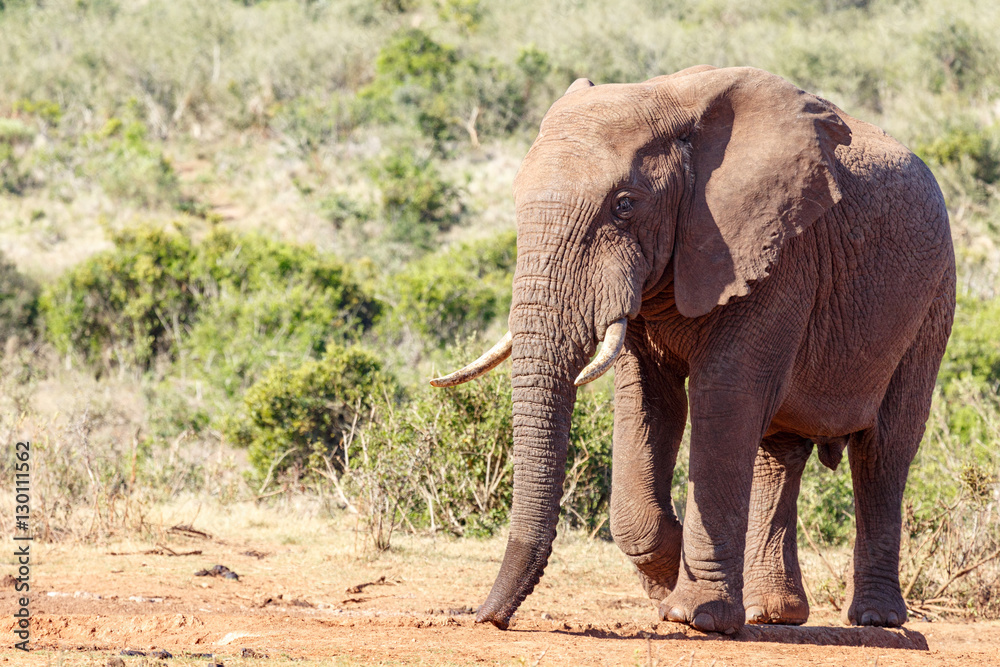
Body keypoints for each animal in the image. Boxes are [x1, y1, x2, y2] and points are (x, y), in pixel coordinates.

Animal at [430, 65, 952, 636]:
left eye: (625, 205)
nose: (481, 618)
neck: (667, 100)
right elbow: (648, 401)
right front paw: (668, 584)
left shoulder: (777, 253)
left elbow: (724, 395)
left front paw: (692, 613)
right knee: (778, 450)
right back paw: (773, 613)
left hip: (931, 301)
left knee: (884, 447)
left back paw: (878, 620)